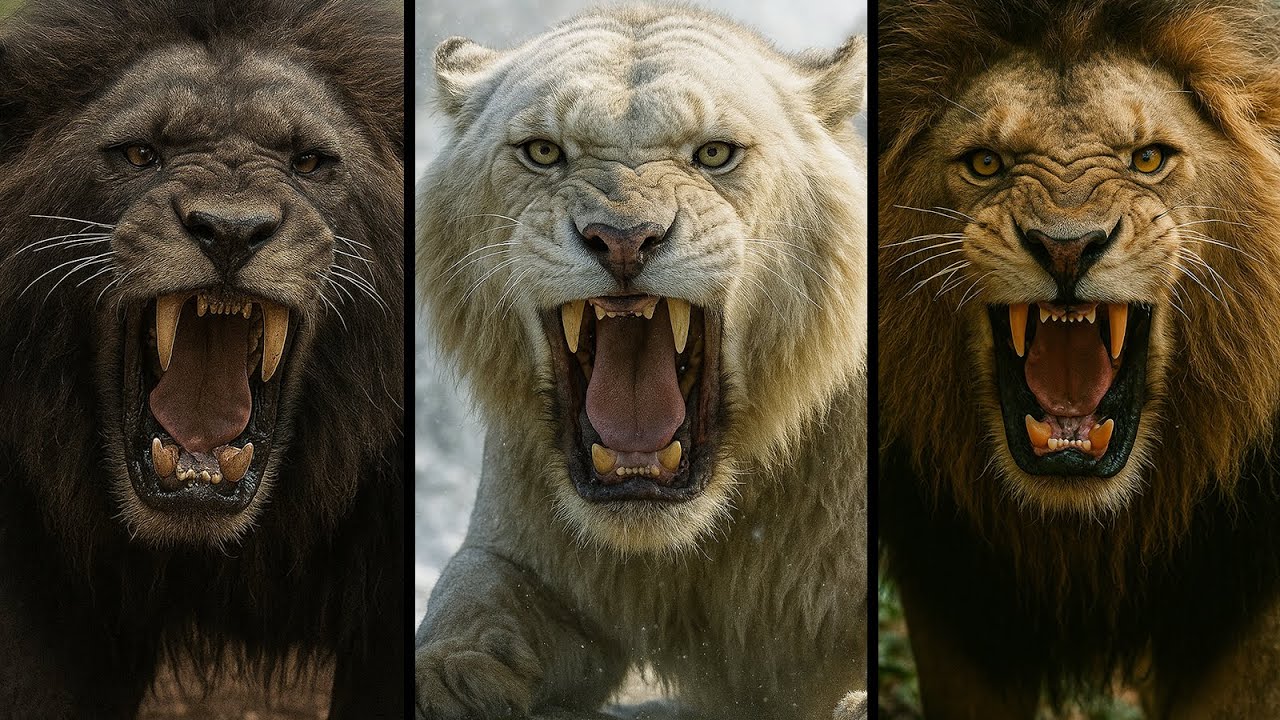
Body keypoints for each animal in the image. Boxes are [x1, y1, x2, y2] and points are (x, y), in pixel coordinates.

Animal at [415, 5, 868, 719]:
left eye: (714, 153)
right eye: (543, 152)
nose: (624, 239)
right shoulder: (516, 551)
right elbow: (466, 595)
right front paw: (450, 679)